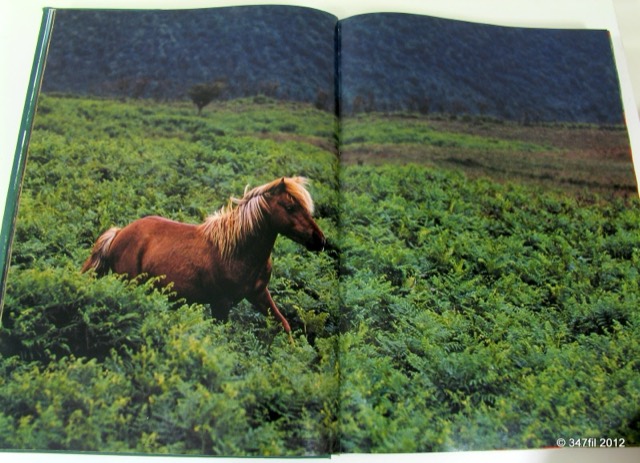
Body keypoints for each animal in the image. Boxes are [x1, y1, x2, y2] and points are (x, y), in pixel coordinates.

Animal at [81, 176, 326, 342]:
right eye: (290, 206)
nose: (320, 240)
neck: (237, 249)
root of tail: (119, 233)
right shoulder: (221, 304)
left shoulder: (258, 294)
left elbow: (283, 324)